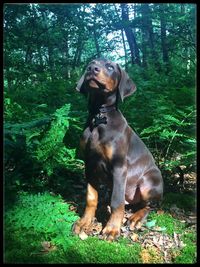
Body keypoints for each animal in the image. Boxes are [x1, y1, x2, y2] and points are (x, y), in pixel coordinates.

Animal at [72, 59, 163, 243]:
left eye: (110, 67)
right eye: (91, 62)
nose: (91, 69)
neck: (99, 117)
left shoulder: (119, 166)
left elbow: (116, 202)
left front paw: (112, 229)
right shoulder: (89, 165)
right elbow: (91, 198)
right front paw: (84, 222)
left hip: (148, 183)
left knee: (149, 206)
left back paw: (136, 218)